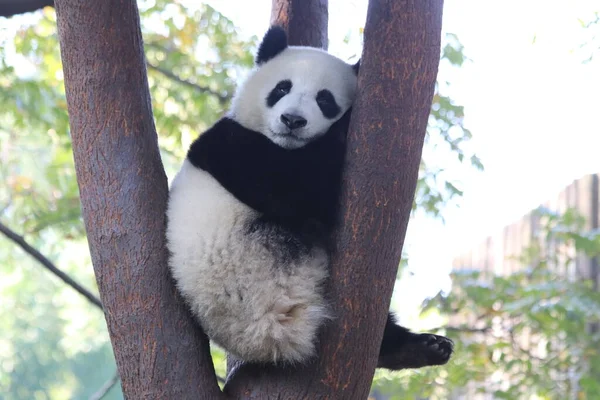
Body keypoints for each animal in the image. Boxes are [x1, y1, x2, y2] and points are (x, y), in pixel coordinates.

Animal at [166, 26, 452, 370]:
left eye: (325, 99)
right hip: (255, 267)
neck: (286, 146)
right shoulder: (229, 149)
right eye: (282, 88)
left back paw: (421, 347)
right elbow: (299, 190)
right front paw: (343, 127)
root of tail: (271, 342)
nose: (293, 120)